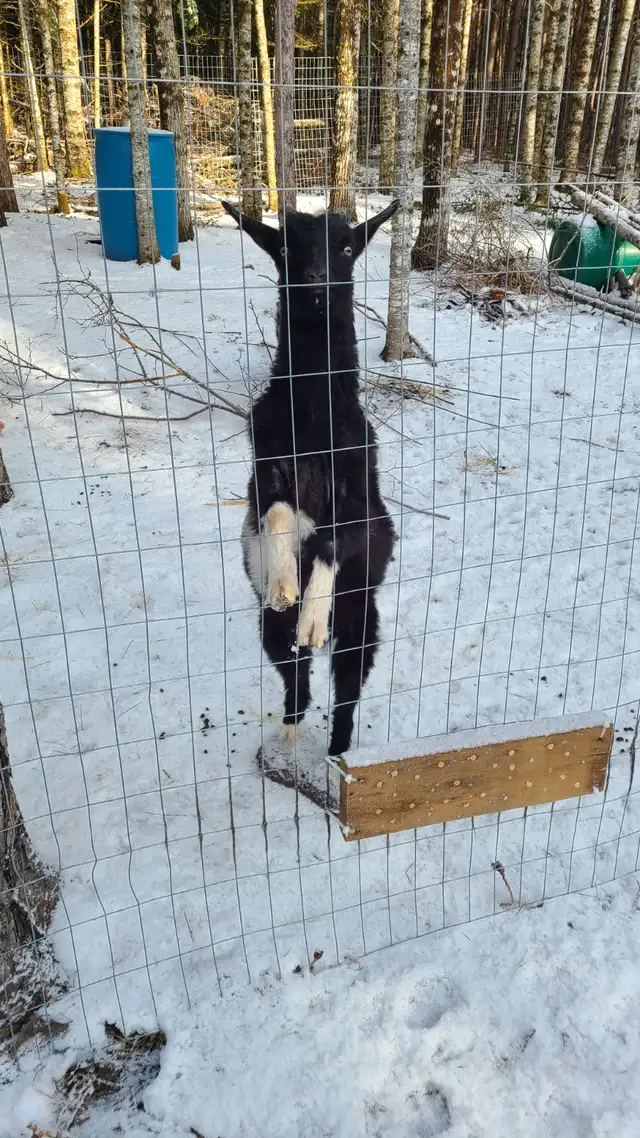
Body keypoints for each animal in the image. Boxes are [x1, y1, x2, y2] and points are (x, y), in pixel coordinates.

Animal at [223, 199, 398, 773]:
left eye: (346, 245)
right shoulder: (265, 471)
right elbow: (277, 513)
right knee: (294, 676)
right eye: (284, 245)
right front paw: (282, 579)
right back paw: (290, 732)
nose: (316, 280)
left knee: (347, 689)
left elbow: (334, 538)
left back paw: (338, 753)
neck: (315, 411)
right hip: (268, 633)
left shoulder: (360, 495)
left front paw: (313, 613)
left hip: (362, 622)